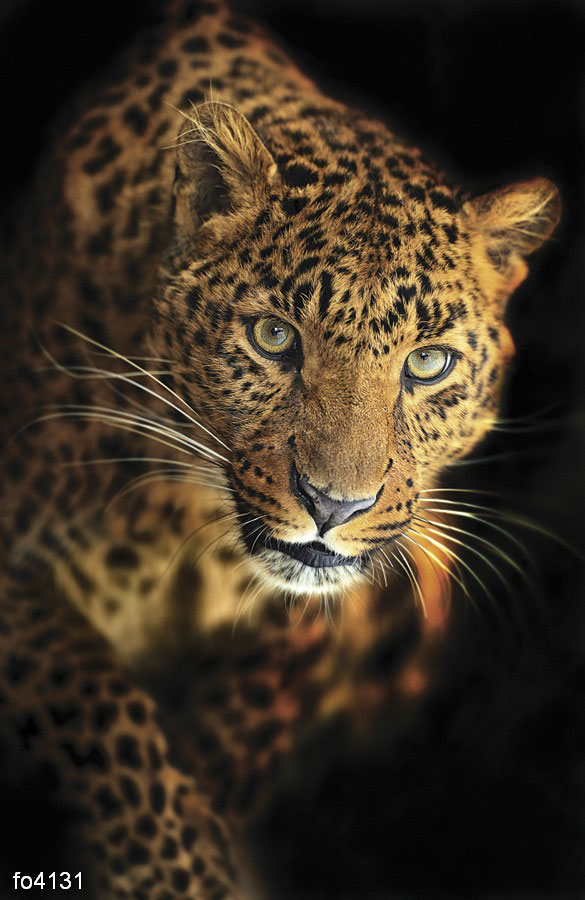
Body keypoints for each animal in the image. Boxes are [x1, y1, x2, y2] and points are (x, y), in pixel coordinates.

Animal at [0, 0, 560, 897]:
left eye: (426, 363)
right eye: (272, 338)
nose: (335, 506)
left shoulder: (315, 622)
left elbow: (237, 725)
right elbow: (96, 701)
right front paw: (180, 873)